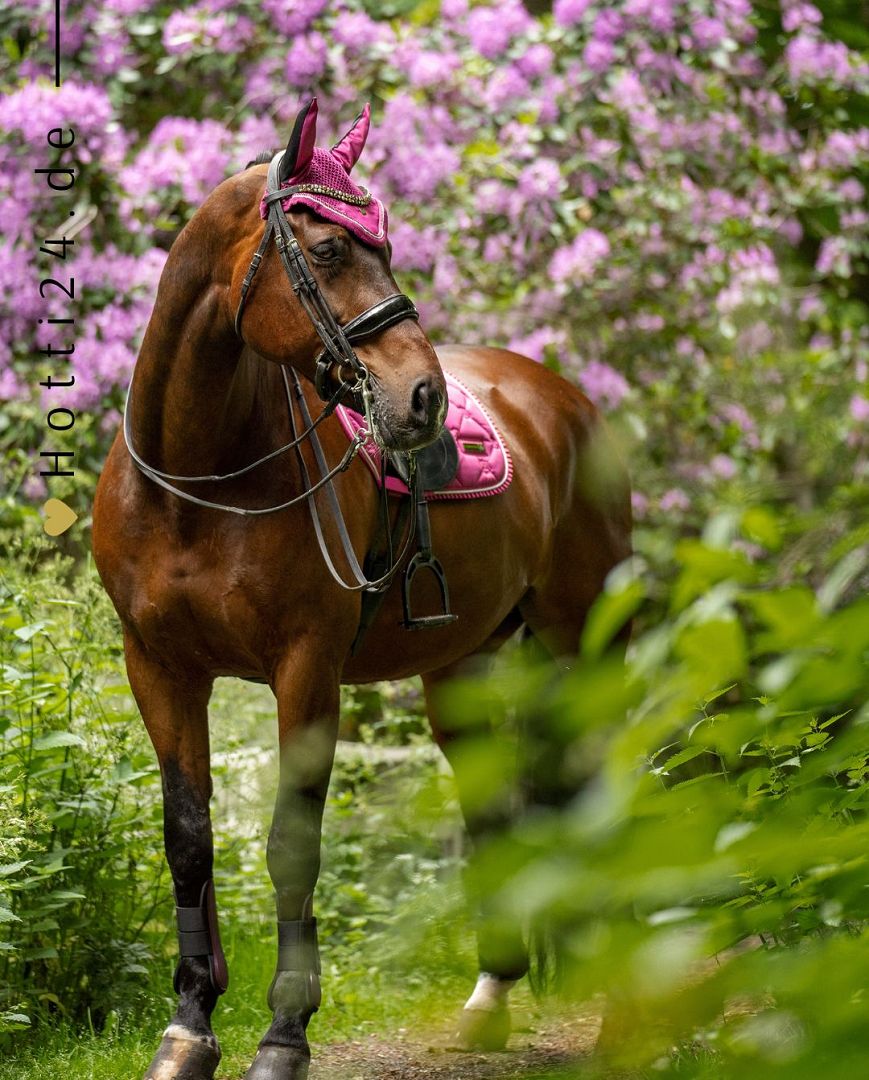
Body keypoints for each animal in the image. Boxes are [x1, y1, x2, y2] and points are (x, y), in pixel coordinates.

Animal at [91, 97, 626, 1075]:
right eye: (332, 248)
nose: (422, 397)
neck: (198, 482)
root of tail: (557, 399)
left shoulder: (305, 669)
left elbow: (291, 846)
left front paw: (283, 1035)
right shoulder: (158, 667)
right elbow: (188, 841)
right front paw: (188, 1028)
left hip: (587, 637)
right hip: (461, 665)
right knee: (493, 808)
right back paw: (490, 997)